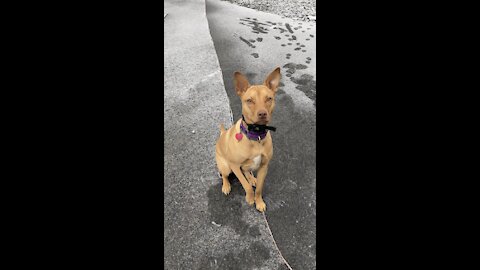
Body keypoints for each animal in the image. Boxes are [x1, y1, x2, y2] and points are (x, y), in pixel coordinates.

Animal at [215, 67, 282, 211]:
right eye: (249, 100)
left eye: (269, 98)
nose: (262, 114)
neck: (256, 135)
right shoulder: (234, 166)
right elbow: (246, 187)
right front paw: (250, 199)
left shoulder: (264, 167)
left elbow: (259, 189)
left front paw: (259, 202)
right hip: (225, 167)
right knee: (224, 175)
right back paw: (226, 186)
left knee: (247, 171)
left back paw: (251, 178)